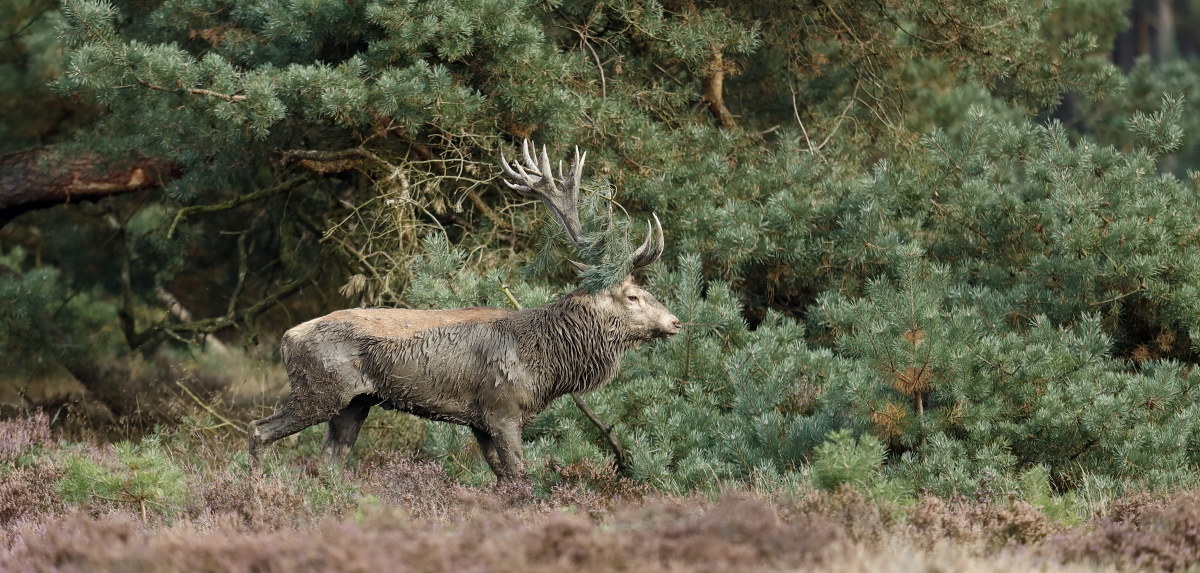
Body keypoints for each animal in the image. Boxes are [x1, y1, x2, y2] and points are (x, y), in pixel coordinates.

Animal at [247, 140, 682, 482]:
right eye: (632, 296)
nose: (675, 322)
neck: (545, 364)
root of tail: (286, 338)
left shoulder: (479, 421)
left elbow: (503, 478)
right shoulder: (501, 408)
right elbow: (520, 475)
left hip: (354, 403)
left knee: (329, 461)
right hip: (319, 389)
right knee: (259, 430)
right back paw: (256, 492)